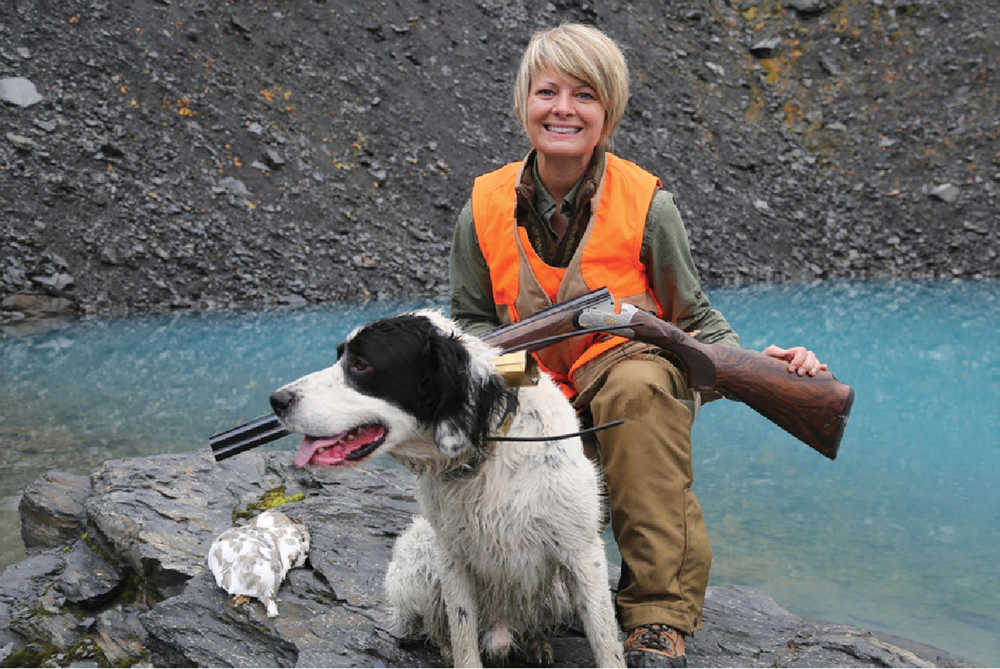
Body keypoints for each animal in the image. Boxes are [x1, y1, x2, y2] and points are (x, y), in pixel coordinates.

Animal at [270, 310, 620, 664]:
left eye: (361, 364)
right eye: (340, 356)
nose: (276, 400)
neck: (485, 452)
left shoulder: (582, 552)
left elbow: (606, 642)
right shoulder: (453, 557)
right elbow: (463, 636)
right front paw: (458, 653)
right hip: (419, 561)